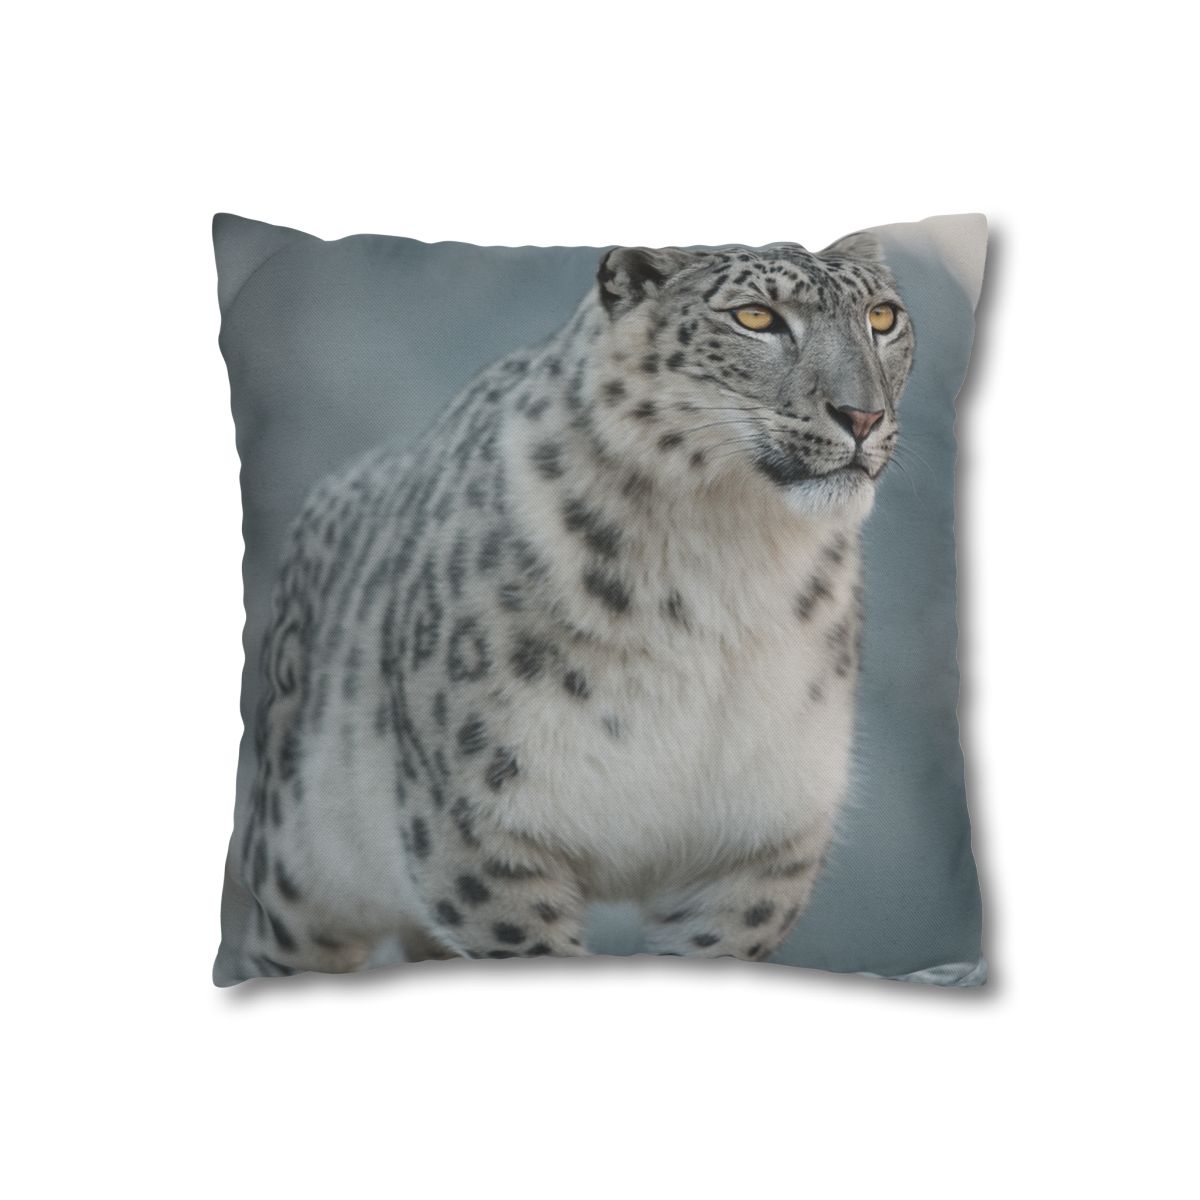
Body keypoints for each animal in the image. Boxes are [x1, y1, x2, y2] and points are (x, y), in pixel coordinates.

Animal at [225, 229, 915, 979]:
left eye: (882, 318)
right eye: (756, 317)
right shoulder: (482, 824)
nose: (862, 415)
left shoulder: (759, 842)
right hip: (298, 868)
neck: (731, 564)